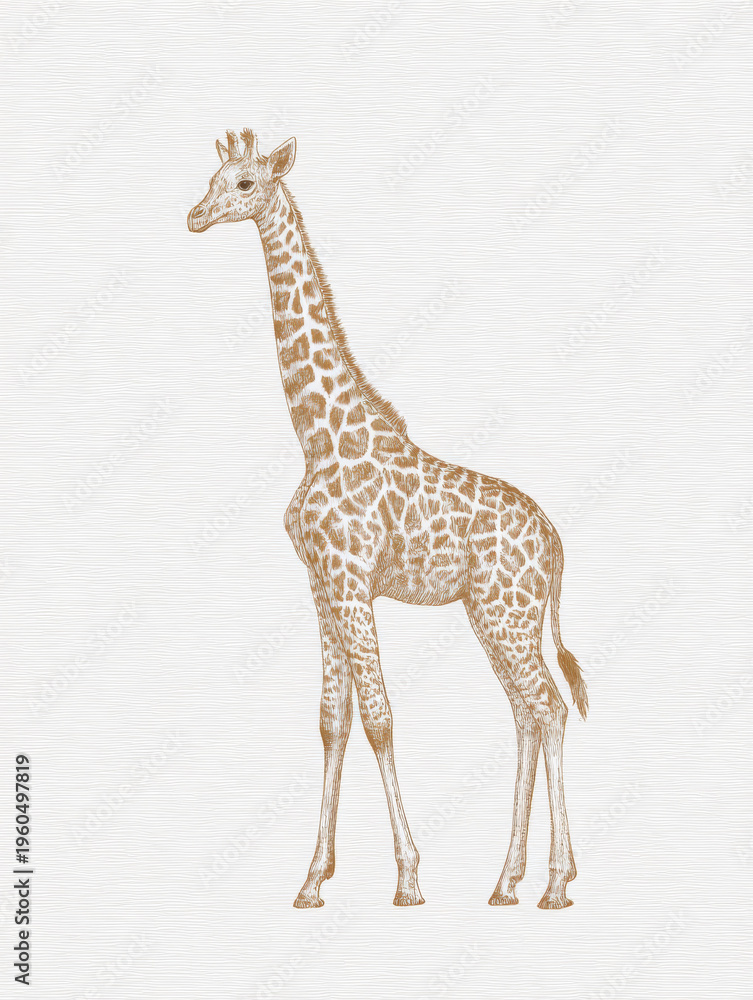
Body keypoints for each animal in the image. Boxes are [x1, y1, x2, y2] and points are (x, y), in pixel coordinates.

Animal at [188, 129, 588, 910]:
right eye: (212, 179)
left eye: (244, 183)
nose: (194, 216)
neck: (318, 435)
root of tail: (556, 546)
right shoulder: (322, 587)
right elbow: (330, 723)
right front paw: (312, 880)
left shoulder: (350, 581)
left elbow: (378, 720)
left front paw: (406, 877)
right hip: (494, 614)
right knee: (526, 714)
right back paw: (506, 882)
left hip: (506, 614)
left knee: (550, 709)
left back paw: (556, 883)